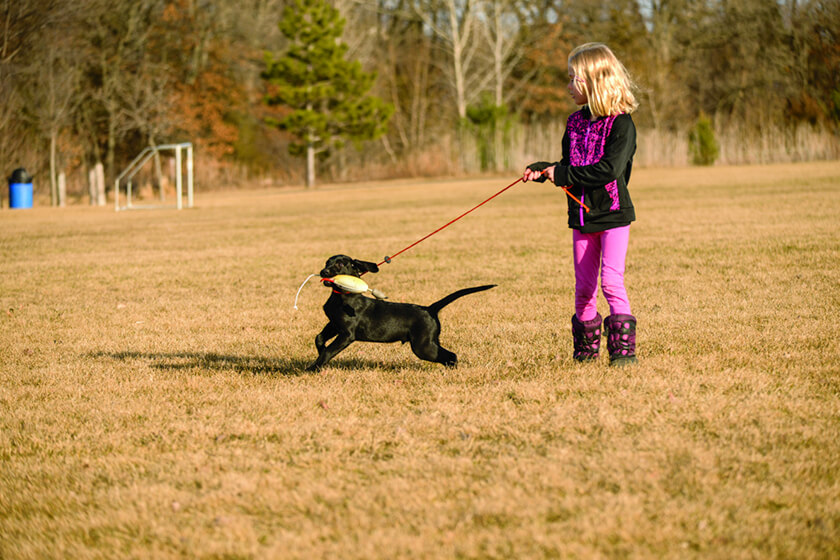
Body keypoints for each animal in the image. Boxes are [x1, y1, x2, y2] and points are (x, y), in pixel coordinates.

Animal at [306, 255, 492, 372]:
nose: (323, 272)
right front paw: (320, 351)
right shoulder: (334, 324)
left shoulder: (346, 334)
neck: (342, 296)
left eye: (338, 265)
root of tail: (429, 308)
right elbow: (319, 338)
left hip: (422, 346)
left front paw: (312, 368)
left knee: (451, 355)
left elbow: (329, 351)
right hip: (429, 342)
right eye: (326, 263)